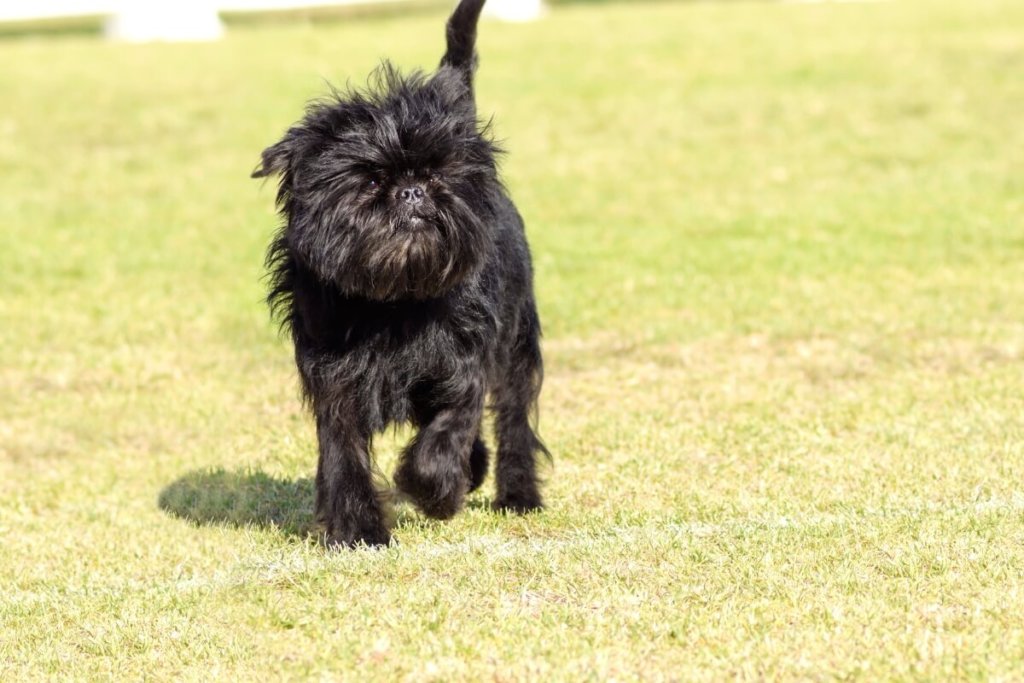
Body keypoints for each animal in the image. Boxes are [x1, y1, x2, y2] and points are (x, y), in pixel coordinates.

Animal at [252, 0, 548, 548]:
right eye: (370, 181)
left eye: (435, 173)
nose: (412, 192)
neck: (393, 301)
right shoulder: (334, 379)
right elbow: (343, 453)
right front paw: (358, 531)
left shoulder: (465, 362)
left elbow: (448, 432)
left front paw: (433, 491)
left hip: (517, 338)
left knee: (513, 414)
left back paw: (516, 494)